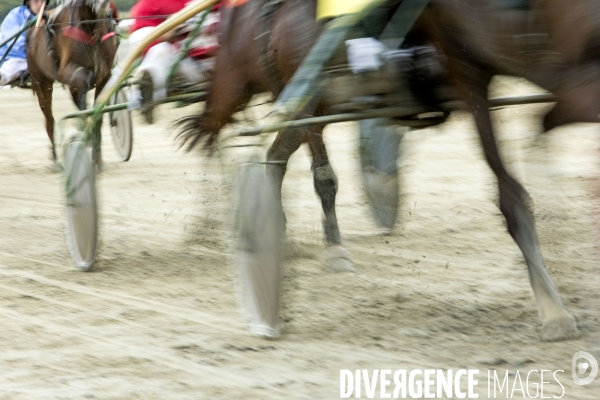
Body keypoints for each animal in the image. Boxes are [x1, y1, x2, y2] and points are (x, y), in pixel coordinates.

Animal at [26, 0, 118, 164]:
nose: (103, 5)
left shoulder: (104, 77)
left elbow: (97, 115)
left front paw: (97, 158)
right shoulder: (69, 72)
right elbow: (84, 81)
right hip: (41, 82)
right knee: (49, 119)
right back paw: (56, 158)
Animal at [176, 0, 596, 340]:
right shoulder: (482, 65)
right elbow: (515, 186)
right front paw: (554, 310)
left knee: (274, 153)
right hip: (275, 88)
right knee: (248, 143)